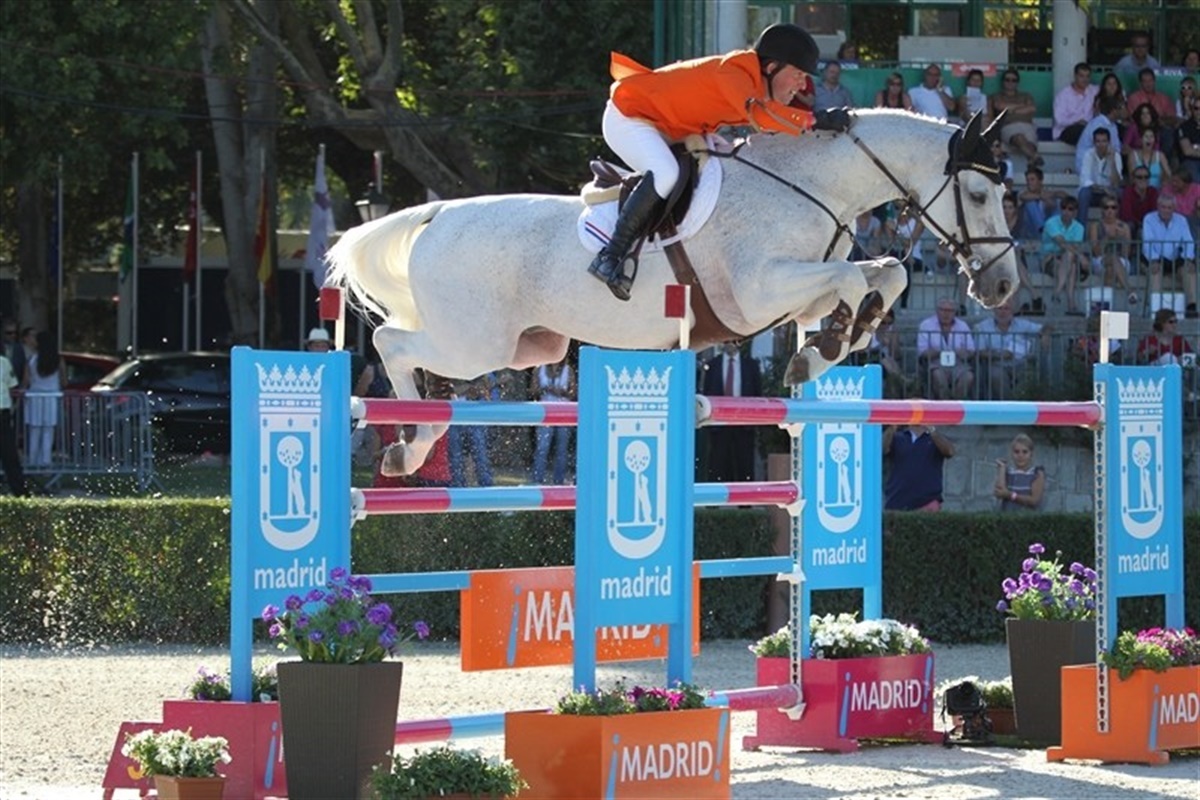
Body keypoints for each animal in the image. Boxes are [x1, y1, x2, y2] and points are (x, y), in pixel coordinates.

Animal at [326, 109, 1018, 476]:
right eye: (978, 194)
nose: (1004, 285)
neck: (808, 184)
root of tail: (436, 214)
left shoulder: (800, 291)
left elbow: (884, 275)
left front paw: (832, 342)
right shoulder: (762, 290)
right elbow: (853, 278)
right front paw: (827, 344)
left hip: (529, 348)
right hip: (476, 343)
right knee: (390, 343)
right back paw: (411, 446)